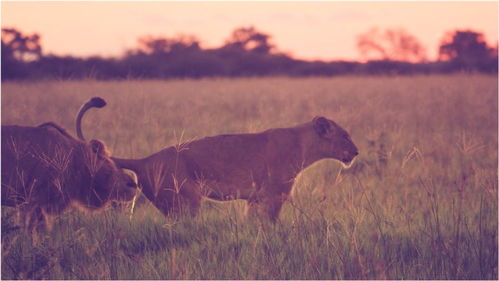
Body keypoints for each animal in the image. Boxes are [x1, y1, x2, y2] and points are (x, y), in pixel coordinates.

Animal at [77, 97, 360, 220]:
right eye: (345, 136)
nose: (356, 152)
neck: (303, 143)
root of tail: (145, 159)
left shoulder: (256, 199)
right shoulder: (274, 195)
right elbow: (270, 223)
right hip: (186, 202)